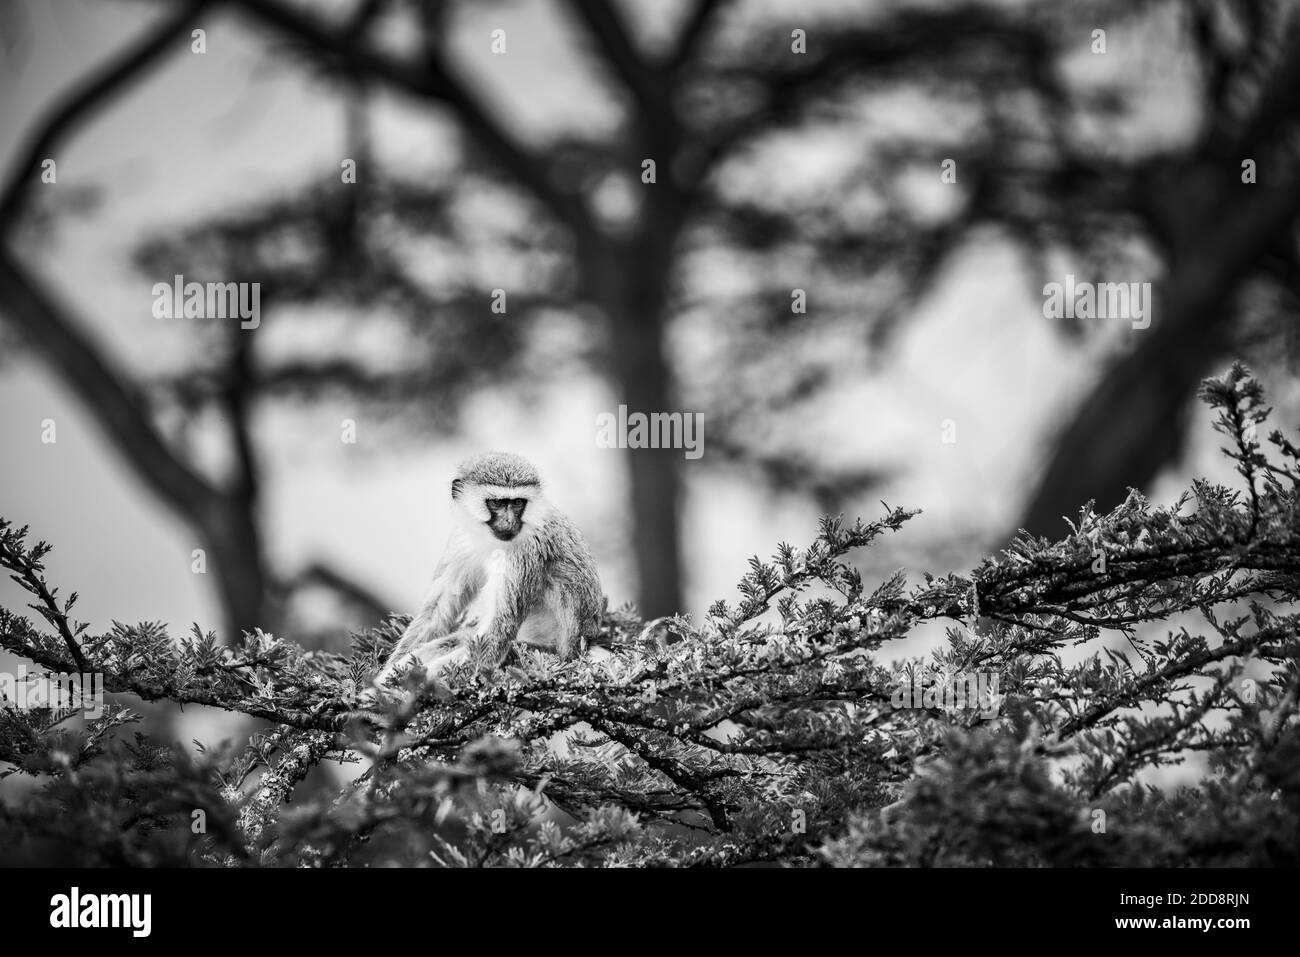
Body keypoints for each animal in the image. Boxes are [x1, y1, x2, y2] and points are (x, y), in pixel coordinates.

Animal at [373, 452, 603, 692]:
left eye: (517, 502)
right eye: (496, 503)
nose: (509, 521)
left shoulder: (526, 552)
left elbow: (497, 629)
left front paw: (401, 688)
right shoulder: (462, 540)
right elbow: (438, 607)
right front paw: (389, 675)